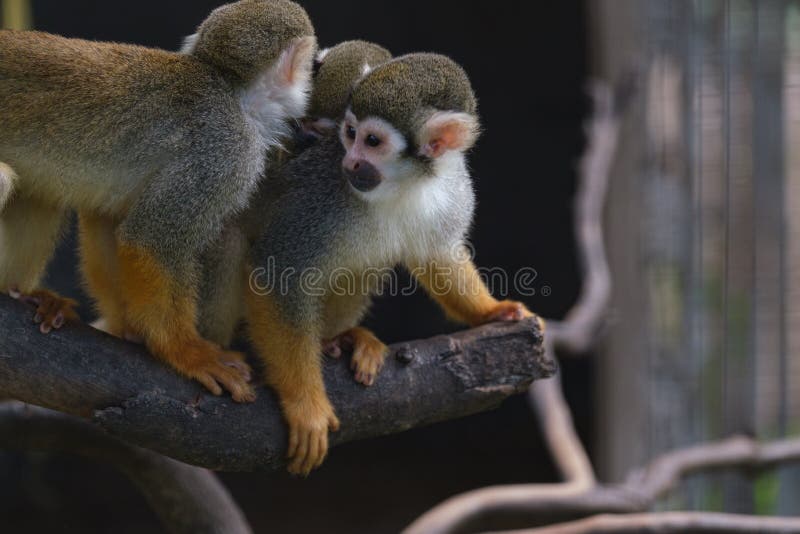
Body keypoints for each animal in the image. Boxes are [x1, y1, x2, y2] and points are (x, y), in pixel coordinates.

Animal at [0, 0, 317, 402]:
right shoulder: (227, 152)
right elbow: (151, 240)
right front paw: (186, 352)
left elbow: (114, 219)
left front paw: (130, 329)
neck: (232, 94)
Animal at [242, 53, 540, 475]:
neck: (404, 184)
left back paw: (339, 338)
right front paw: (306, 406)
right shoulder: (319, 194)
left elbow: (439, 255)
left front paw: (490, 310)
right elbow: (278, 272)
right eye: (350, 133)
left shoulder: (452, 186)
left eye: (372, 141)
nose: (351, 161)